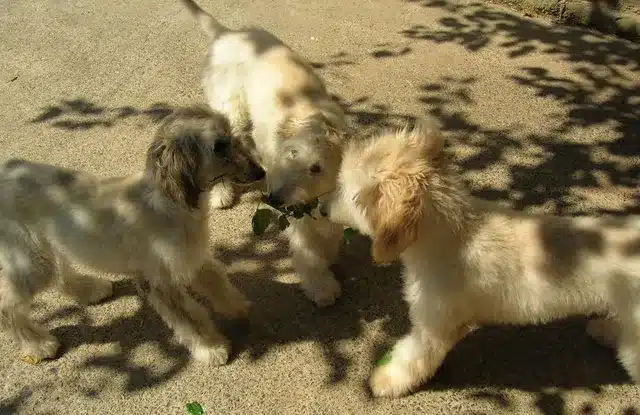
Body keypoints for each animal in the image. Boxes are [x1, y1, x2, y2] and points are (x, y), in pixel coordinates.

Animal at [0, 106, 264, 368]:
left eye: (231, 133)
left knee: (60, 274)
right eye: (219, 146)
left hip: (50, 243)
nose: (260, 172)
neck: (169, 203)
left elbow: (217, 281)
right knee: (8, 306)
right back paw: (38, 344)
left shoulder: (192, 258)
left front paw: (237, 307)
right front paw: (211, 348)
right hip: (30, 260)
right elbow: (192, 319)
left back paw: (90, 289)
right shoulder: (162, 283)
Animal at [180, 0, 350, 306]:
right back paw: (222, 192)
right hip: (230, 109)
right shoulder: (298, 211)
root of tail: (228, 34)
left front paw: (329, 256)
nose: (274, 200)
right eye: (290, 155)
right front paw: (320, 286)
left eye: (315, 167)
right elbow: (308, 249)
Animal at [322, 118, 640, 398]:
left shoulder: (432, 326)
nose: (322, 209)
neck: (454, 233)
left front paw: (387, 380)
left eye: (347, 190)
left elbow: (412, 357)